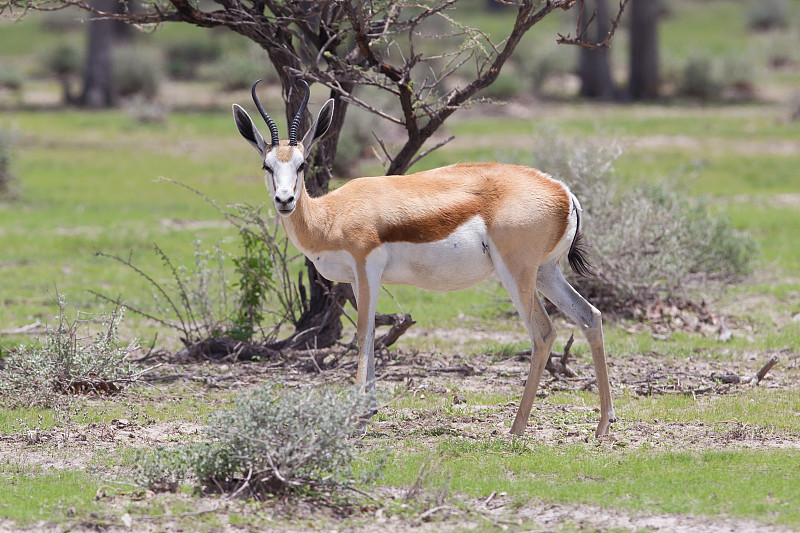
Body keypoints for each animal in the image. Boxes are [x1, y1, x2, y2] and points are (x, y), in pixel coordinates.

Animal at [233, 80, 620, 436]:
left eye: (302, 164)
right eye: (267, 165)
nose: (285, 200)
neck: (331, 215)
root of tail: (562, 190)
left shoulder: (366, 267)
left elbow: (362, 333)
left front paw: (355, 417)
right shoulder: (358, 280)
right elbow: (370, 333)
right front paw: (368, 411)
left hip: (517, 273)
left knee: (543, 332)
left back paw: (516, 427)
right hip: (546, 272)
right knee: (590, 317)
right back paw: (603, 425)